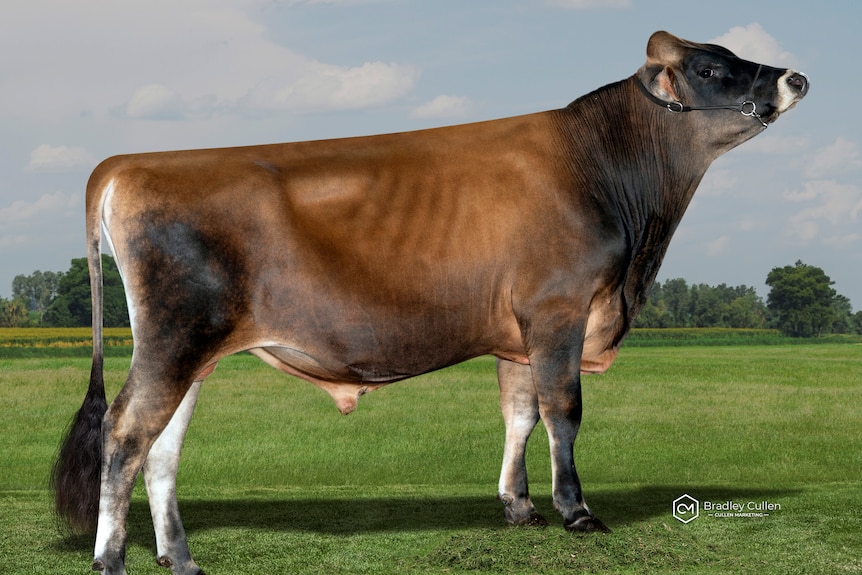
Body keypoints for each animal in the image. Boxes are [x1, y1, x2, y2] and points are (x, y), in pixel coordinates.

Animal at [52, 31, 807, 574]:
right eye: (710, 67)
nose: (795, 78)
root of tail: (128, 163)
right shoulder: (557, 311)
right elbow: (563, 412)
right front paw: (576, 511)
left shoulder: (517, 336)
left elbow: (519, 414)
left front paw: (519, 507)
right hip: (175, 340)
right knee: (124, 433)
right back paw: (109, 558)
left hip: (192, 352)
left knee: (162, 447)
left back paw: (179, 557)